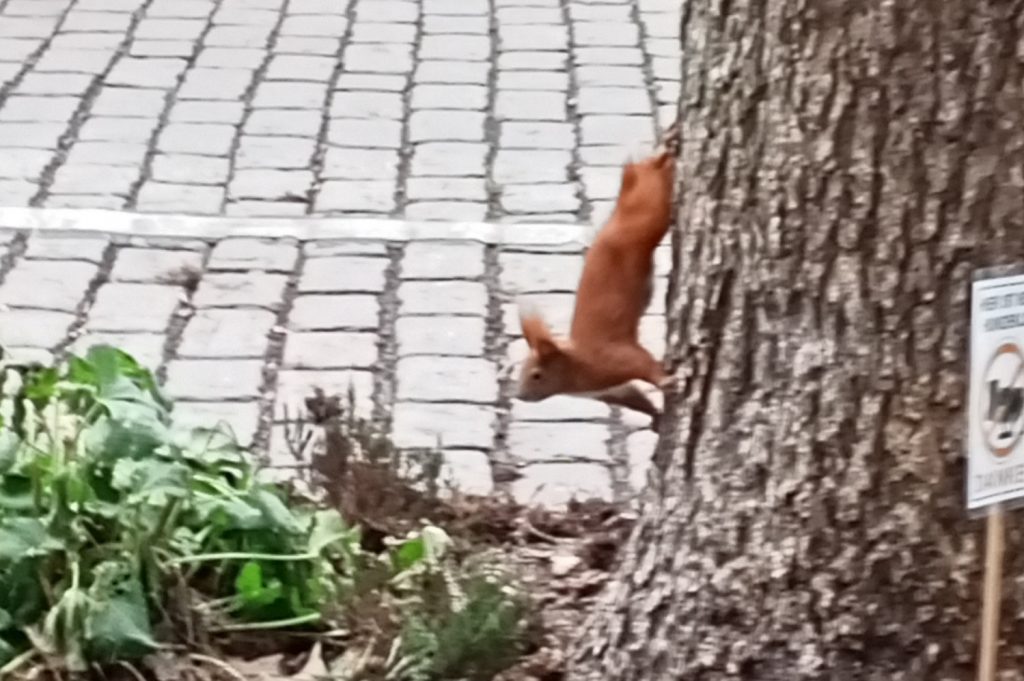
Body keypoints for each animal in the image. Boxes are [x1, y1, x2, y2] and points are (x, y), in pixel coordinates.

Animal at [516, 148, 675, 428]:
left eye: (536, 375)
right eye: (519, 371)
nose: (519, 395)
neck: (578, 366)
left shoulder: (616, 357)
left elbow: (644, 364)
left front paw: (666, 381)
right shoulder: (609, 390)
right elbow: (634, 397)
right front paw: (656, 419)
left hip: (650, 216)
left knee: (655, 191)